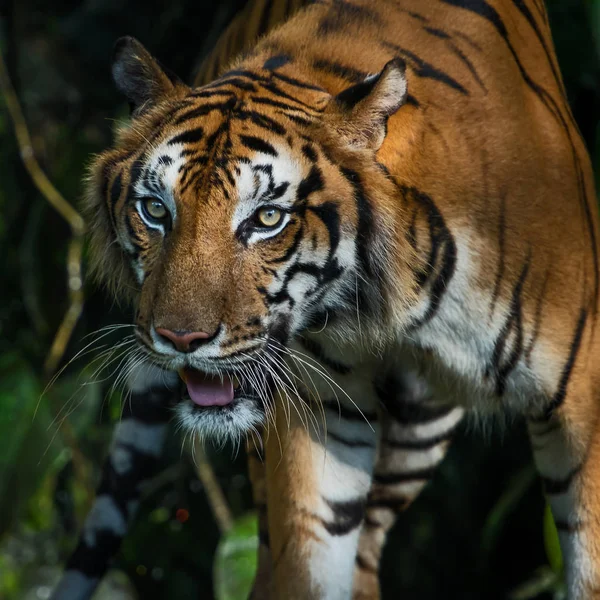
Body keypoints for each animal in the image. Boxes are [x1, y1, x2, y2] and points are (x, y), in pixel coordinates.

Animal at [52, 0, 600, 596]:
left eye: (267, 218)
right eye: (155, 209)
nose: (179, 339)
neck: (387, 306)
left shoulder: (585, 406)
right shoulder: (321, 414)